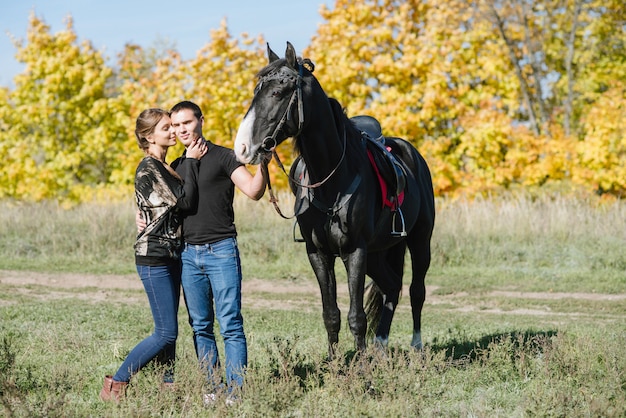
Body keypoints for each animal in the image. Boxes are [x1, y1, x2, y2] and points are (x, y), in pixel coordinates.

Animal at [234, 41, 434, 356]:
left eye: (277, 93)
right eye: (256, 92)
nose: (241, 148)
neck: (332, 180)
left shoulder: (356, 251)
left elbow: (356, 317)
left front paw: (360, 364)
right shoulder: (318, 253)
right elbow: (331, 315)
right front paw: (334, 362)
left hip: (419, 240)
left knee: (416, 291)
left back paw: (416, 346)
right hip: (378, 252)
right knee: (392, 287)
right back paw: (380, 345)